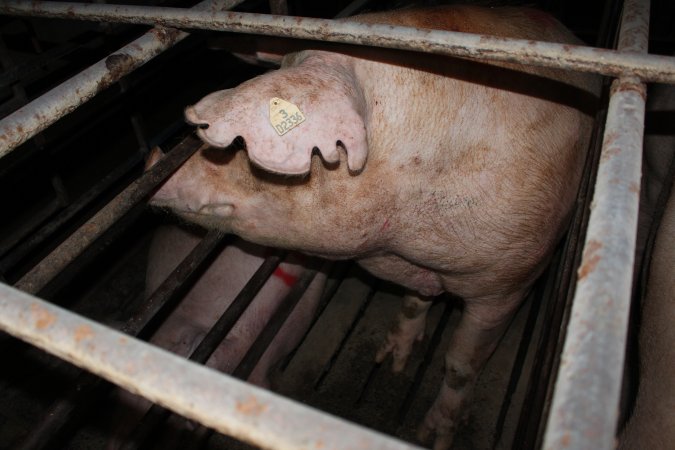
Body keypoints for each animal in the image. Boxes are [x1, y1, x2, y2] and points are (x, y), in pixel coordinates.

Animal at [151, 7, 600, 450]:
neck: (408, 233)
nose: (155, 169)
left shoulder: (511, 280)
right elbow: (415, 301)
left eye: (242, 146)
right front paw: (392, 361)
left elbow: (460, 364)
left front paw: (434, 435)